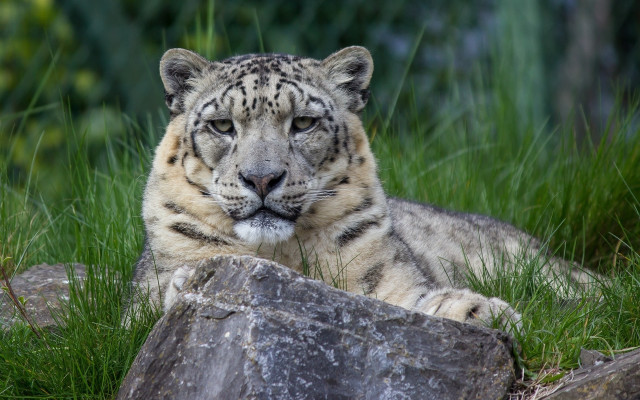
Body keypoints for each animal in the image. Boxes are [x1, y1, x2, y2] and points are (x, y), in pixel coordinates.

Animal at [127, 46, 594, 330]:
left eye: (303, 122)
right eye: (222, 125)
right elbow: (148, 308)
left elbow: (416, 299)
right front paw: (189, 280)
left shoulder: (391, 282)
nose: (262, 178)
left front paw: (480, 311)